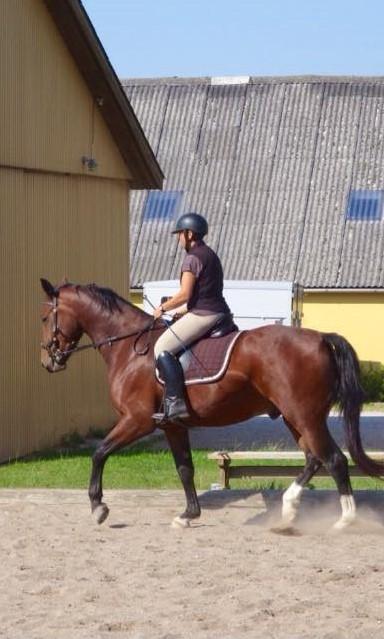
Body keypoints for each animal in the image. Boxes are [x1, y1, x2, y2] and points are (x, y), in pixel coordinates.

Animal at [40, 278, 382, 532]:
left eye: (44, 318)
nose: (47, 361)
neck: (130, 348)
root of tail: (321, 338)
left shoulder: (138, 420)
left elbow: (99, 453)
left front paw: (98, 506)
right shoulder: (172, 425)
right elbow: (184, 469)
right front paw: (189, 515)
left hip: (304, 415)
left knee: (334, 459)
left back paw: (344, 520)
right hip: (294, 416)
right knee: (314, 458)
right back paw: (288, 511)